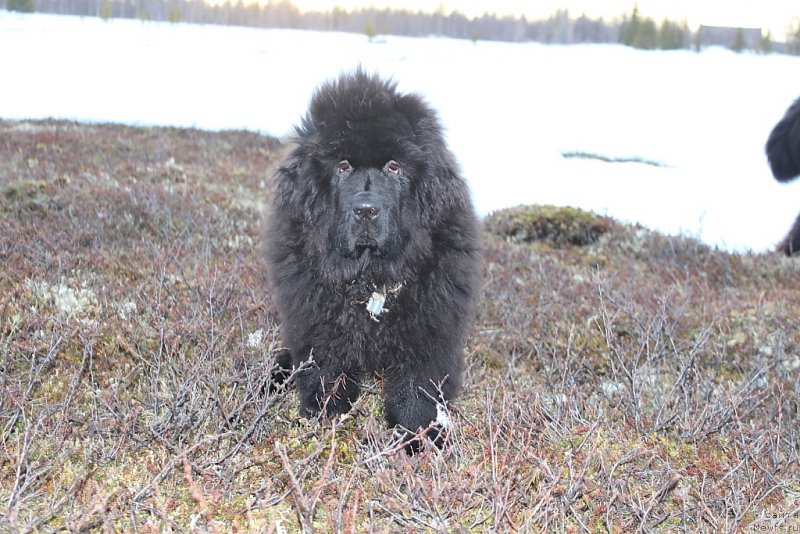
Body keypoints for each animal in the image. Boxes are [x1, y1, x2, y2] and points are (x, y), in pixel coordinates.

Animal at [268, 69, 482, 454]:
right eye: (342, 165)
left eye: (394, 167)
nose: (366, 210)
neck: (370, 278)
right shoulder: (320, 327)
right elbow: (327, 374)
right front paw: (324, 420)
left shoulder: (427, 329)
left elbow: (416, 389)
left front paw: (421, 437)